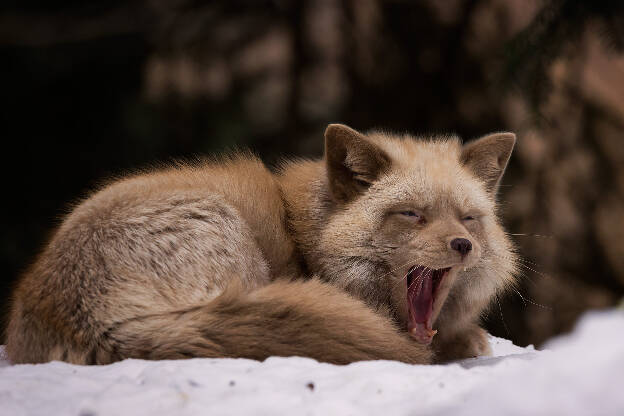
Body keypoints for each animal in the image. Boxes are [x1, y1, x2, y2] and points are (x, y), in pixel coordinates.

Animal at [4, 122, 516, 364]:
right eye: (411, 214)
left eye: (469, 219)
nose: (463, 245)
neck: (306, 238)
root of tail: (93, 320)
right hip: (229, 233)